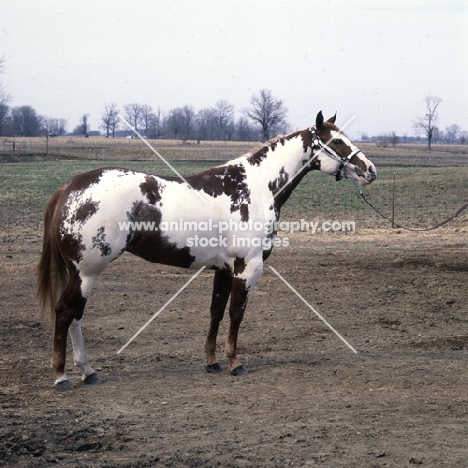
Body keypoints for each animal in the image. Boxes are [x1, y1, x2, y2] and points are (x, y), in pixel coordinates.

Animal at [38, 111, 378, 390]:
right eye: (337, 141)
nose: (371, 170)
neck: (254, 188)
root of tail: (70, 187)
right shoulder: (247, 268)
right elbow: (236, 313)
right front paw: (235, 363)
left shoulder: (224, 269)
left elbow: (216, 312)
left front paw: (212, 362)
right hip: (86, 272)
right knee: (66, 312)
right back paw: (62, 376)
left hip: (82, 273)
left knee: (76, 316)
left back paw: (88, 371)